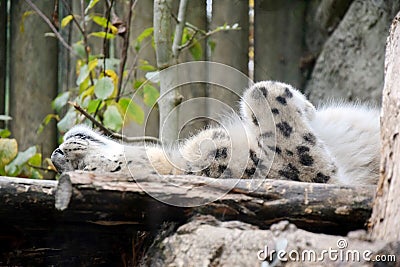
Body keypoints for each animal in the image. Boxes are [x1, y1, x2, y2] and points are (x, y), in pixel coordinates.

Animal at [51, 81, 380, 186]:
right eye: (84, 167)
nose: (57, 154)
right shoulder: (320, 174)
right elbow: (260, 93)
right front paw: (301, 104)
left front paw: (310, 108)